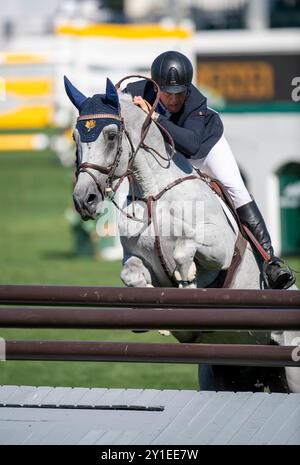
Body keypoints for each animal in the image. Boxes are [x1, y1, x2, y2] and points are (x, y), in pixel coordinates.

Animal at [64, 76, 298, 392]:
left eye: (112, 136)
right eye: (75, 137)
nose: (84, 200)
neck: (154, 191)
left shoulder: (220, 250)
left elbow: (184, 250)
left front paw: (187, 281)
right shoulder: (135, 257)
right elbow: (131, 275)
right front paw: (154, 312)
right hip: (221, 375)